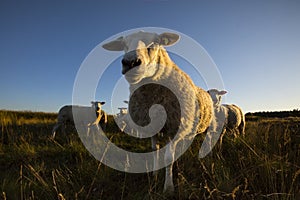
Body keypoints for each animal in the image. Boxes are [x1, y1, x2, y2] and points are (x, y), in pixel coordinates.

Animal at [103, 30, 216, 194]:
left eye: (156, 42)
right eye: (124, 44)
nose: (130, 62)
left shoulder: (175, 127)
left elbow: (168, 158)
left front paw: (168, 187)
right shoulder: (152, 128)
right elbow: (154, 151)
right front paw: (155, 175)